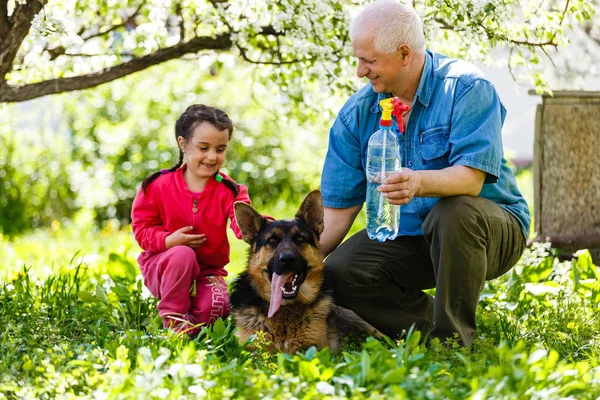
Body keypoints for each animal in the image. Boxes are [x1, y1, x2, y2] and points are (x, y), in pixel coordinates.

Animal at [230, 191, 380, 354]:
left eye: (299, 238)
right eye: (272, 240)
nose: (287, 259)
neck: (286, 307)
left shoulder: (313, 348)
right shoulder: (251, 351)